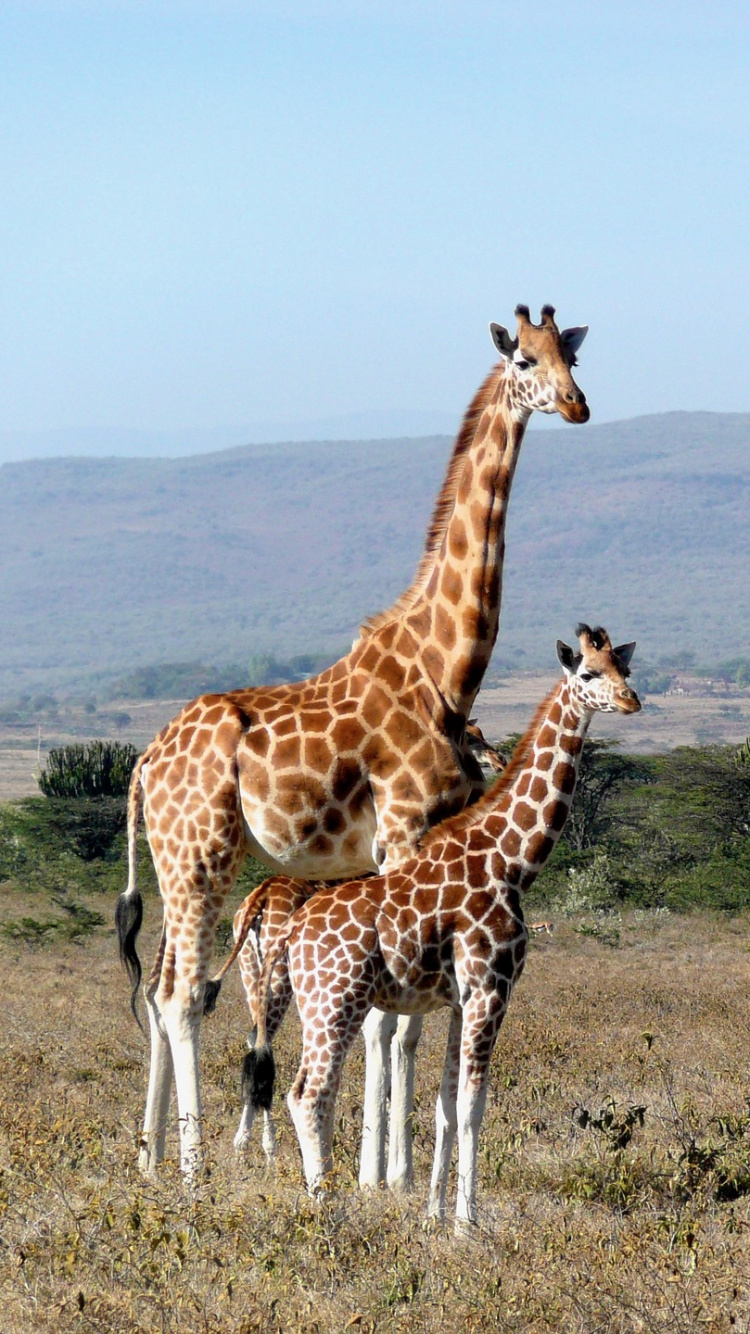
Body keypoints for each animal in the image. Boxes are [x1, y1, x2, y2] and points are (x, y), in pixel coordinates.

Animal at [115, 305, 590, 1183]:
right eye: (524, 360)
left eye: (573, 357)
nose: (577, 405)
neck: (447, 667)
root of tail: (143, 762)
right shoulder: (403, 830)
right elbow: (390, 1021)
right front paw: (387, 1177)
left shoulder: (410, 849)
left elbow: (396, 1018)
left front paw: (385, 1172)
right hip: (203, 852)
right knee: (181, 996)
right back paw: (194, 1171)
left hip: (175, 859)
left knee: (163, 988)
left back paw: (151, 1160)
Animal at [243, 626, 641, 1234]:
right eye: (588, 673)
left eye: (626, 668)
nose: (631, 701)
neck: (511, 860)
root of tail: (291, 933)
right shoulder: (490, 989)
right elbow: (474, 1106)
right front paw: (466, 1224)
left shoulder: (459, 999)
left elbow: (446, 1105)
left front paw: (435, 1213)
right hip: (336, 1002)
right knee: (308, 1093)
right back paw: (326, 1205)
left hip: (312, 1003)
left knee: (301, 1089)